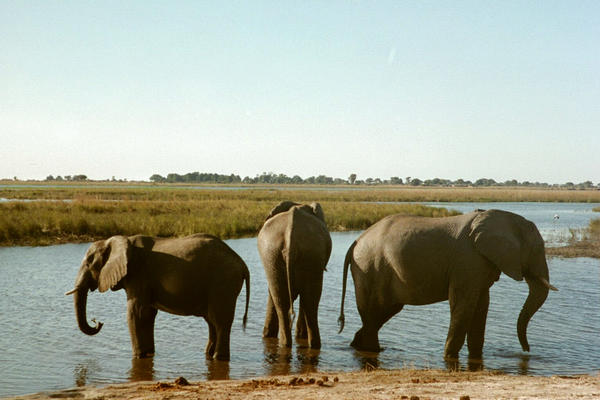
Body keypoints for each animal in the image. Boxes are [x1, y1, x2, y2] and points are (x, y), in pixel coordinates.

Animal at [66, 233, 251, 360]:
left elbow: (136, 313)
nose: (98, 321)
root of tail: (242, 263)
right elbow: (147, 314)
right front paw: (148, 355)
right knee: (211, 321)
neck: (120, 241)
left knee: (220, 322)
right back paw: (208, 356)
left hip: (223, 283)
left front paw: (138, 357)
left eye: (89, 263)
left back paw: (219, 358)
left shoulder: (138, 274)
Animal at [258, 202, 332, 348]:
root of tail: (289, 235)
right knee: (307, 301)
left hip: (277, 255)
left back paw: (289, 344)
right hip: (300, 254)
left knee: (285, 300)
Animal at [338, 209, 556, 362]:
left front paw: (475, 357)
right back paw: (371, 350)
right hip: (370, 268)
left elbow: (481, 306)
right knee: (374, 310)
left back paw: (360, 346)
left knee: (381, 313)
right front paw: (449, 357)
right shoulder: (467, 261)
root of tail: (356, 241)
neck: (502, 217)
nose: (527, 351)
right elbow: (464, 304)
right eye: (538, 249)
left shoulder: (481, 264)